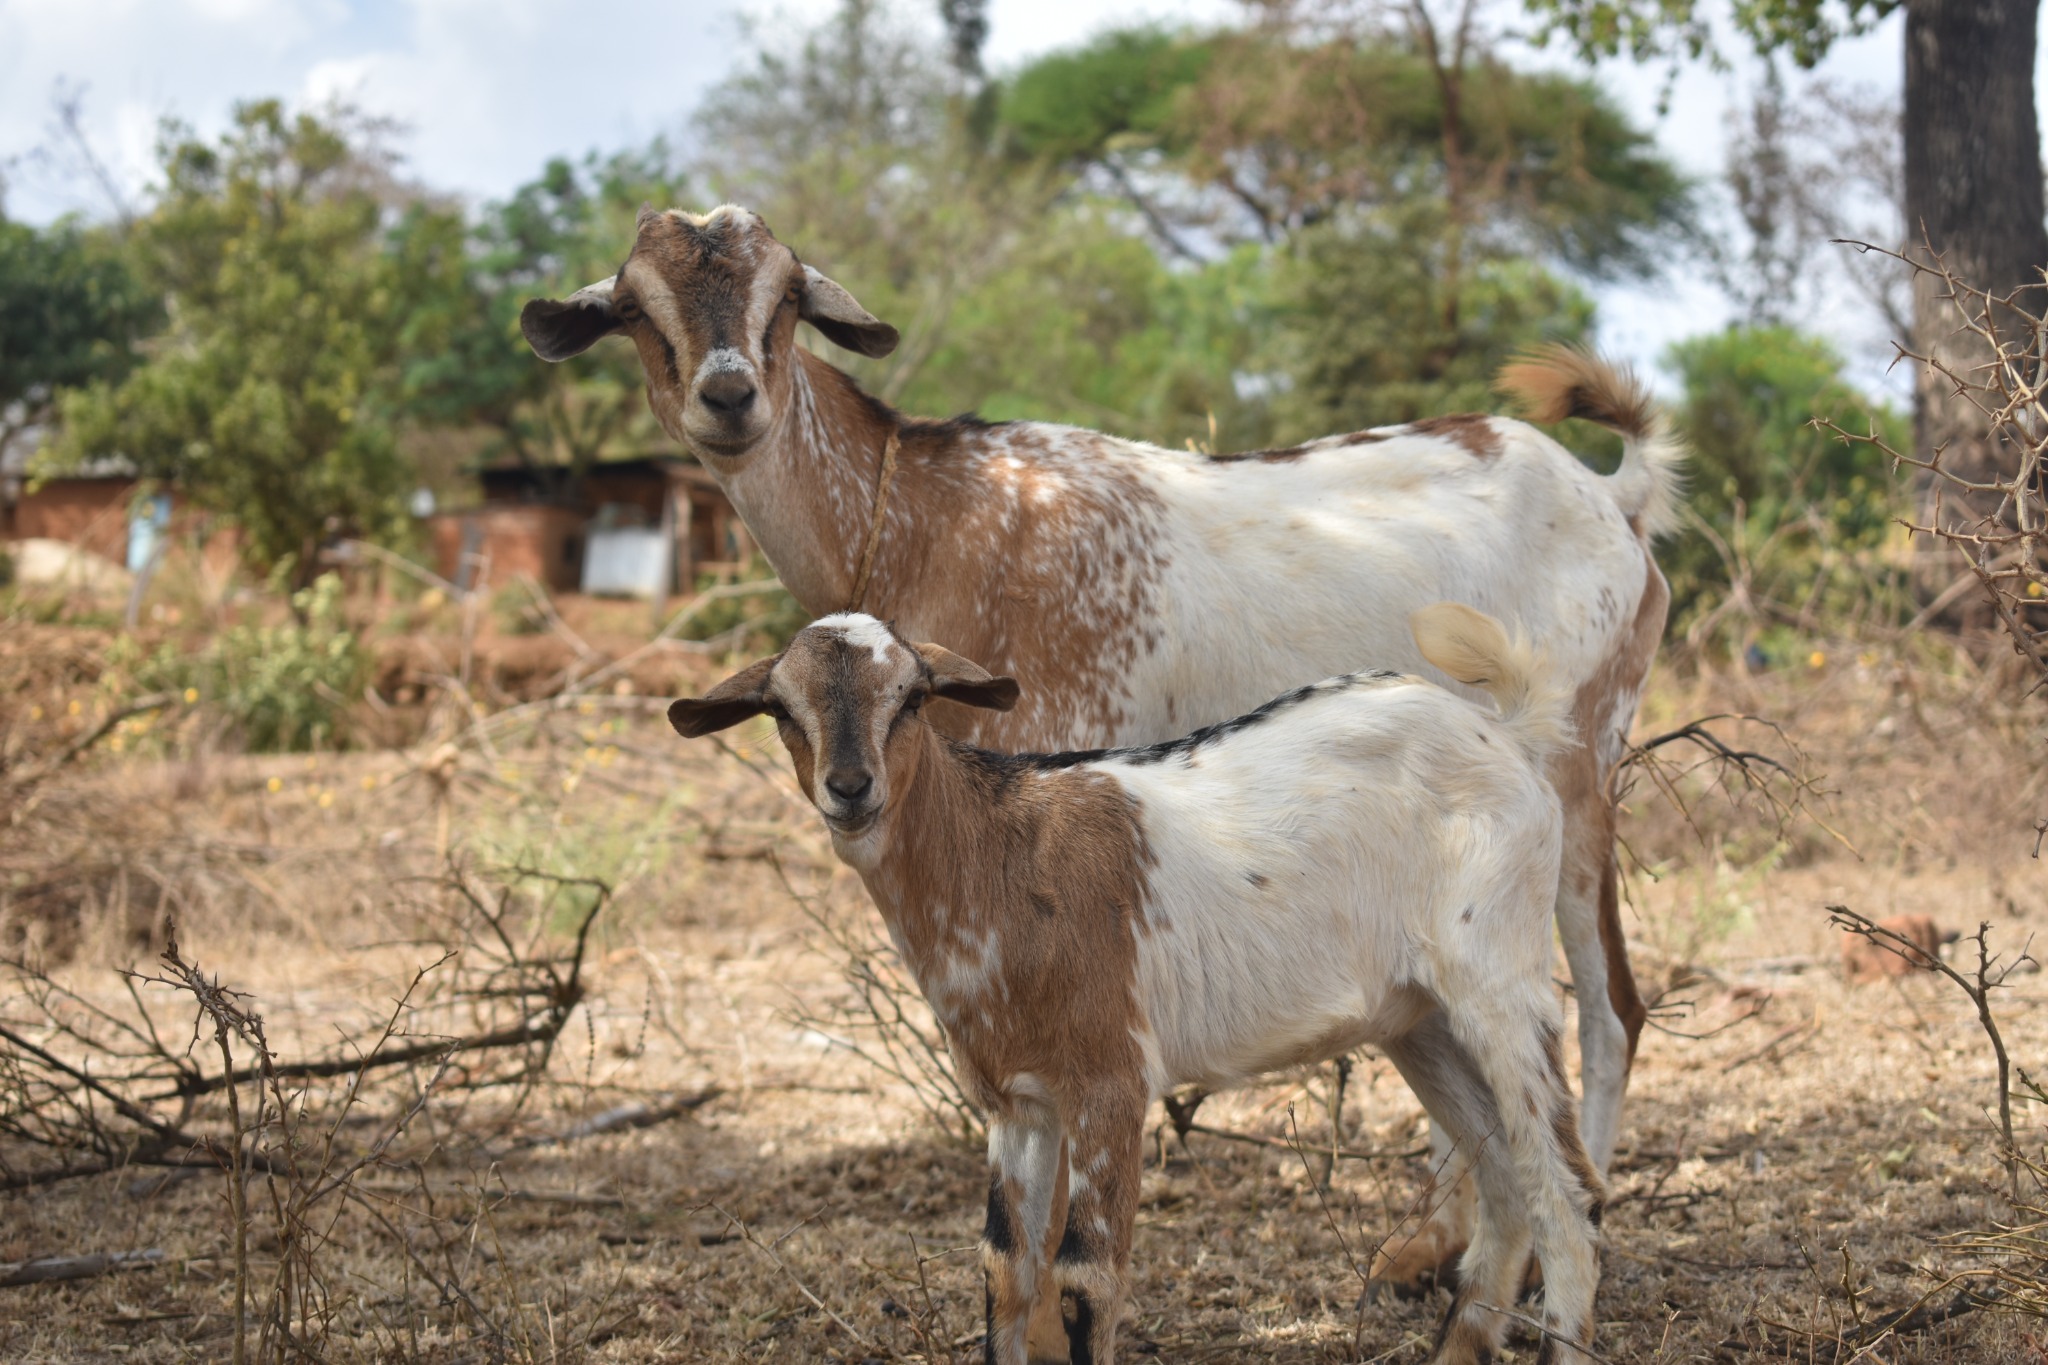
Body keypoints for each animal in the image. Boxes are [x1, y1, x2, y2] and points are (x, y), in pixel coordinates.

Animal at [668, 605, 1606, 1365]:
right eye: (780, 709)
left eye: (911, 696)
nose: (851, 788)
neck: (996, 857)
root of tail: (1508, 734)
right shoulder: (1019, 1101)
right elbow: (1006, 1267)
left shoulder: (1108, 1079)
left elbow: (1085, 1278)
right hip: (1419, 1019)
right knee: (1507, 1179)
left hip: (1501, 983)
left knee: (1569, 1196)